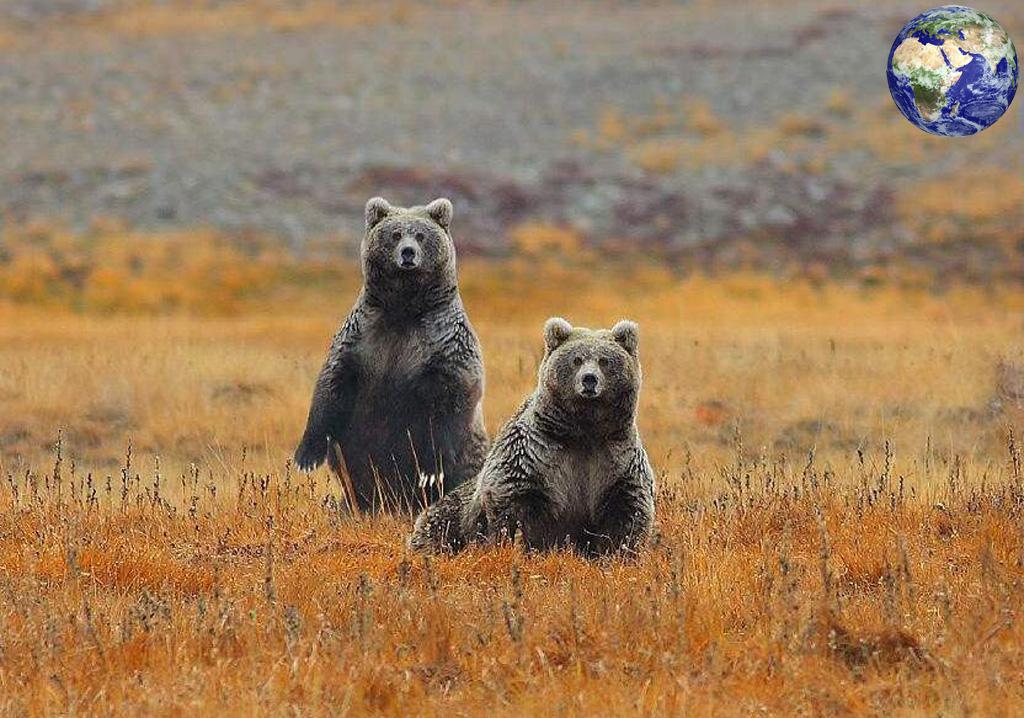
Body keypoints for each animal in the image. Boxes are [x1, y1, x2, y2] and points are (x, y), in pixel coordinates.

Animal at [296, 195, 487, 510]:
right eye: (395, 234)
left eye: (420, 235)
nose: (408, 253)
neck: (404, 308)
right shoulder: (362, 340)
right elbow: (331, 385)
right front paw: (306, 456)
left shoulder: (444, 345)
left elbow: (449, 401)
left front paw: (430, 471)